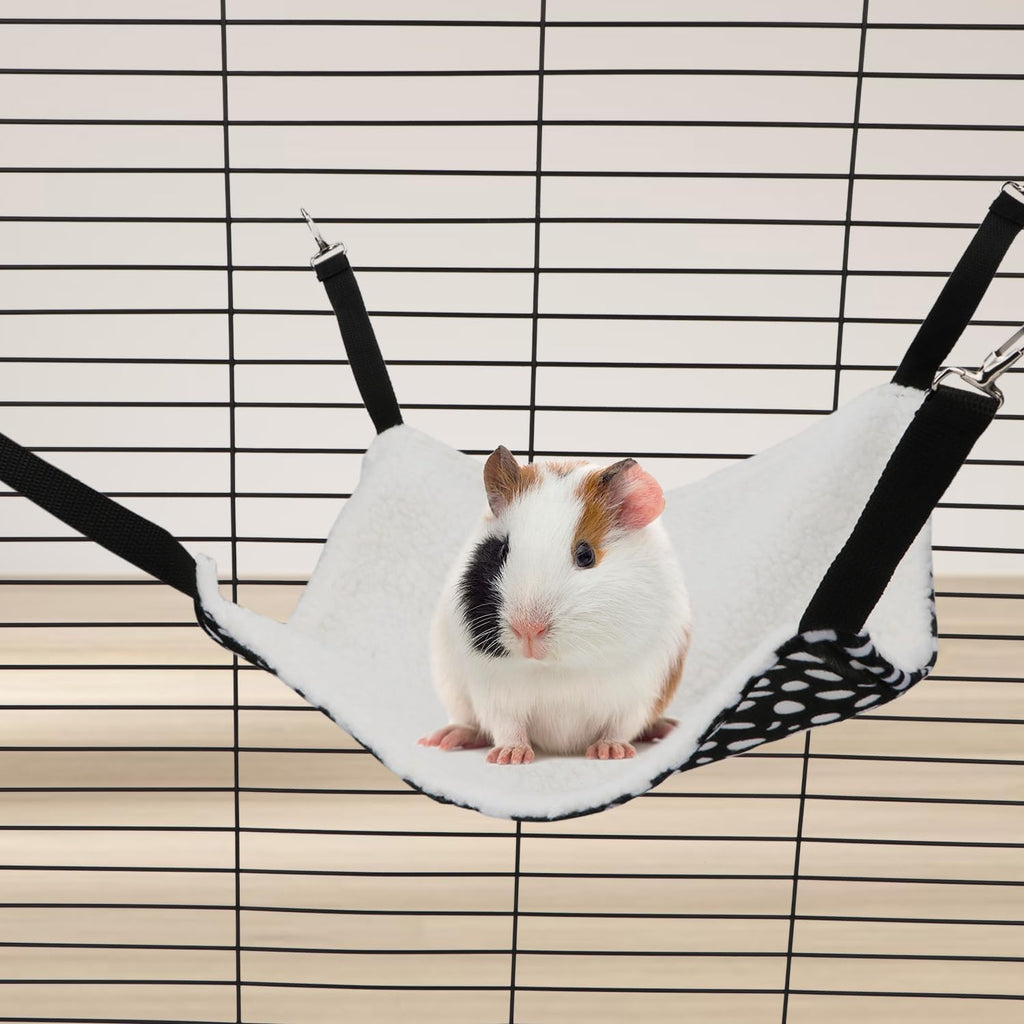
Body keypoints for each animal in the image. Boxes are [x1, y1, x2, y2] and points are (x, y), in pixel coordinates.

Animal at [419, 446, 692, 765]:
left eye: (585, 555)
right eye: (501, 551)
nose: (528, 630)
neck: (557, 668)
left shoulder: (638, 692)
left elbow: (619, 727)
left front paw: (610, 753)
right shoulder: (495, 693)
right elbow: (508, 728)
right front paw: (509, 757)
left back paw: (667, 728)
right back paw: (444, 739)